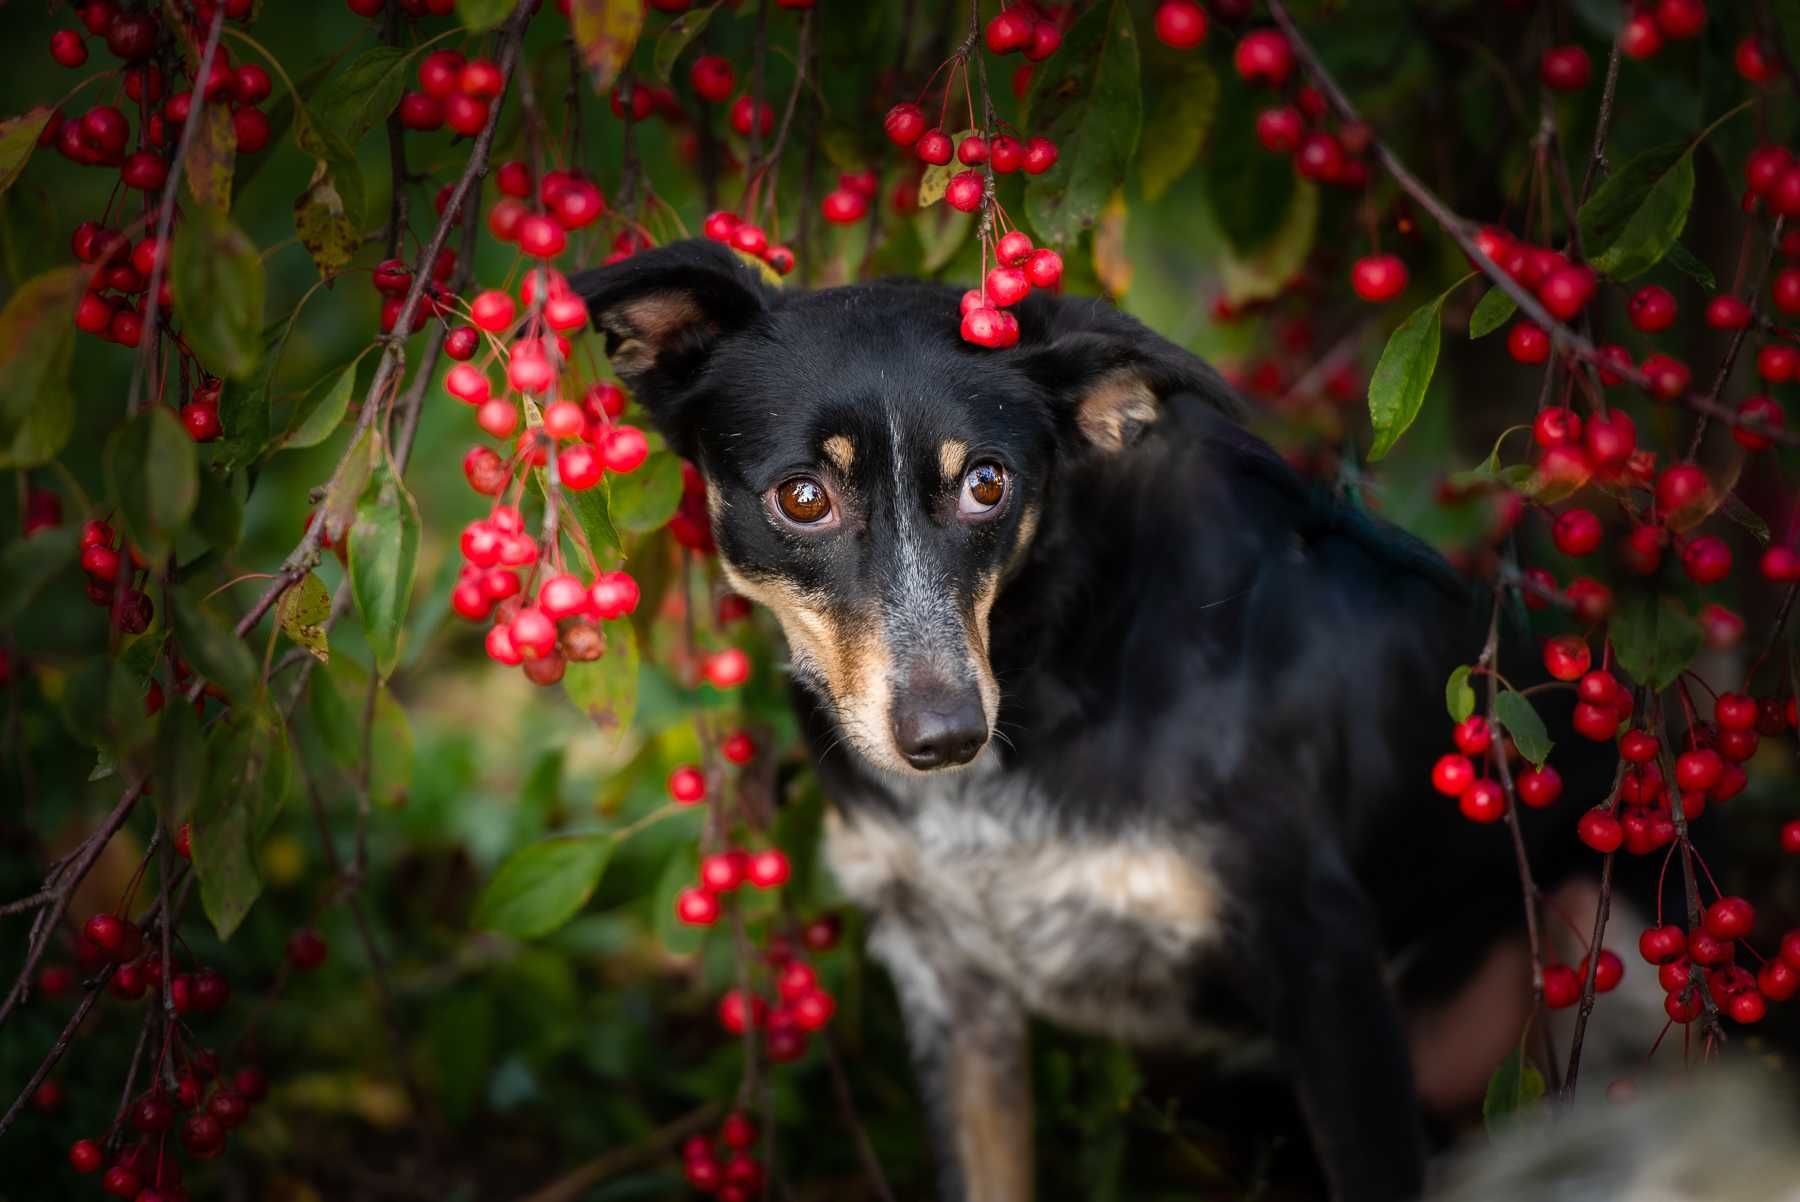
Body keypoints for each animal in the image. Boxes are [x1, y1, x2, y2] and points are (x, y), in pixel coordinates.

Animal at [576, 239, 1620, 1194]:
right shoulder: (952, 989)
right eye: (803, 497)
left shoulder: (1323, 964)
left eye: (988, 483)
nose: (946, 736)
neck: (1047, 655)